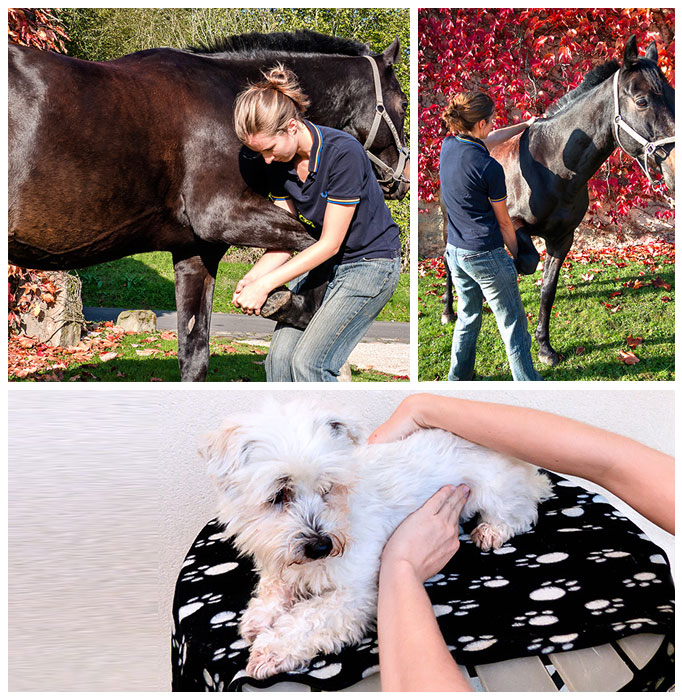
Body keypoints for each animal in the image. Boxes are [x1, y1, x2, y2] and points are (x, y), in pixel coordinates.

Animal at [7, 30, 406, 380]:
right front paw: (290, 305)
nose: (400, 182)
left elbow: (194, 354)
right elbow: (319, 246)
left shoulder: (197, 253)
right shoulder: (222, 215)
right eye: (403, 103)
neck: (228, 99)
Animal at [199, 400, 548, 680]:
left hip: (495, 493)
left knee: (521, 510)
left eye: (328, 486)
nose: (321, 546)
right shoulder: (281, 559)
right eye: (279, 495)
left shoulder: (356, 595)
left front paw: (271, 649)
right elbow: (274, 584)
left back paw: (491, 530)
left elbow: (309, 619)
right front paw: (259, 616)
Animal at [438, 37, 672, 366]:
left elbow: (547, 289)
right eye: (642, 101)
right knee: (449, 260)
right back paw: (449, 310)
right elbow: (525, 261)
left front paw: (545, 347)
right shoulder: (513, 223)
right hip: (451, 222)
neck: (552, 165)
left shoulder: (563, 238)